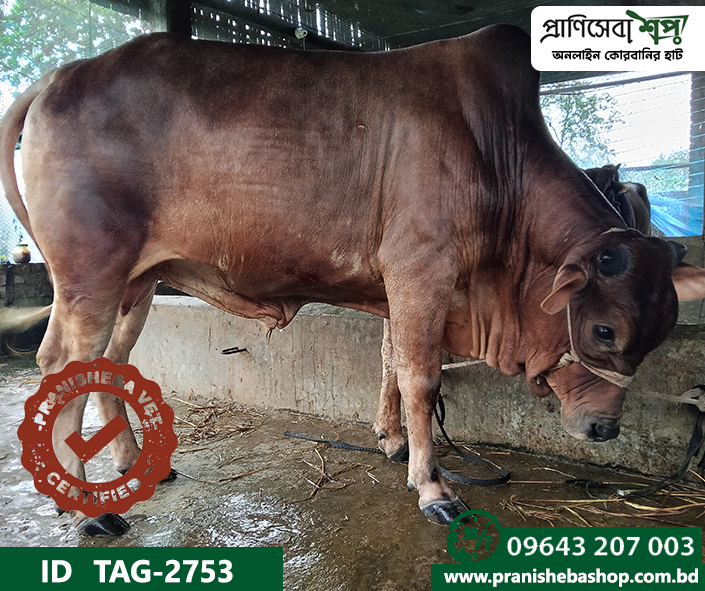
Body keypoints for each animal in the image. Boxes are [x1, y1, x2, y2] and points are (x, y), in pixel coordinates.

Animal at [2, 25, 705, 536]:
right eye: (603, 329)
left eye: (660, 332)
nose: (604, 430)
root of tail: (61, 75)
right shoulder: (420, 270)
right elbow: (420, 378)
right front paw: (432, 485)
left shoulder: (400, 286)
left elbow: (392, 362)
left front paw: (391, 441)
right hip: (91, 275)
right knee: (63, 363)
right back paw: (87, 509)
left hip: (138, 283)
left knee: (110, 363)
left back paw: (128, 467)